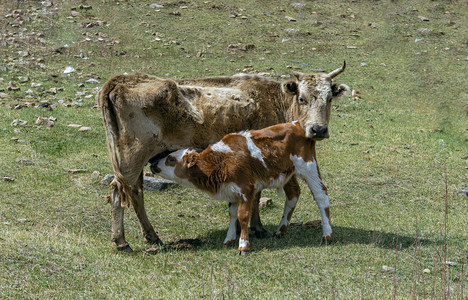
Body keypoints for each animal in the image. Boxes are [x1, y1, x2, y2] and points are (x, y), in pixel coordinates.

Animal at [152, 120, 330, 254]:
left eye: (171, 159)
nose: (153, 163)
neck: (222, 161)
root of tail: (298, 124)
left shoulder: (246, 189)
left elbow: (243, 215)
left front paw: (243, 245)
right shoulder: (232, 190)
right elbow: (232, 214)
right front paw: (228, 239)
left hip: (309, 168)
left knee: (321, 196)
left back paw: (327, 235)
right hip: (288, 173)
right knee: (293, 195)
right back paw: (280, 230)